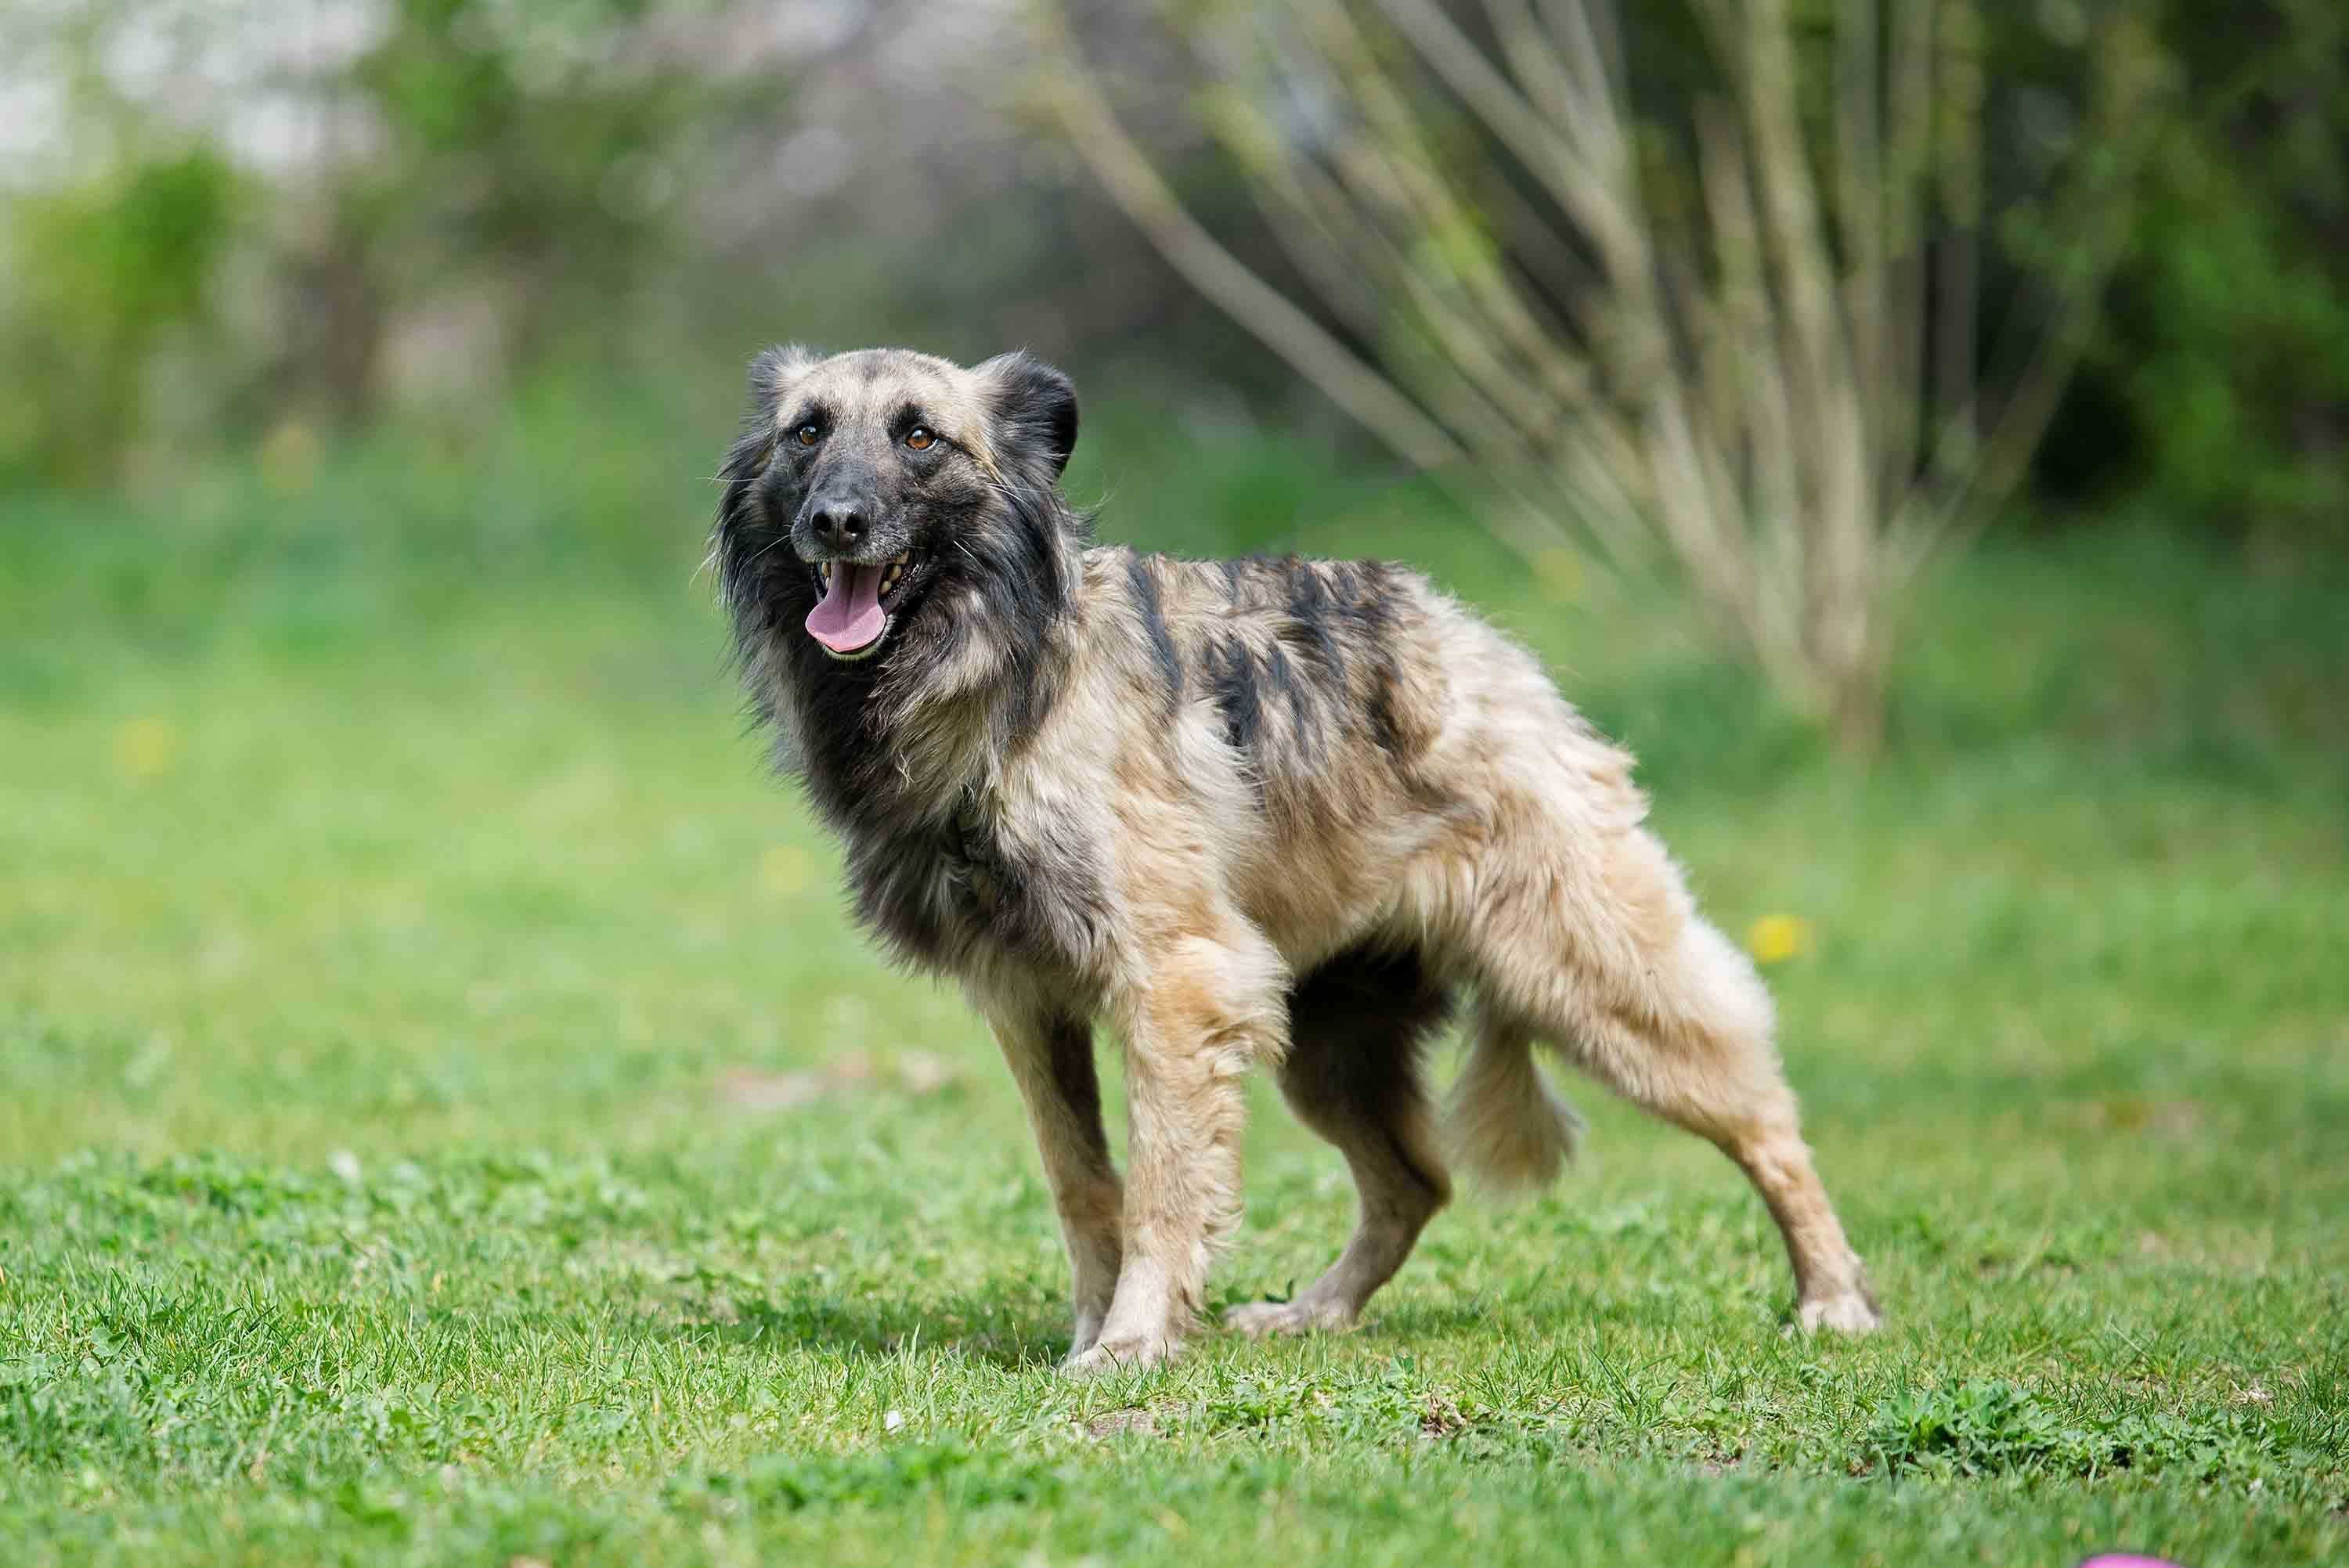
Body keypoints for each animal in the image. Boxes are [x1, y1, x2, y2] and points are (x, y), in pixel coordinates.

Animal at [705, 344, 1879, 1371]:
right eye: (807, 432)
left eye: (920, 435)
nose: (835, 520)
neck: (1002, 673)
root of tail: (1492, 652)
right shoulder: (1029, 1003)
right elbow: (1084, 1186)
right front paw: (1097, 1325)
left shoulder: (1176, 988)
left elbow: (1161, 1189)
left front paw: (1130, 1344)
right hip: (1330, 1042)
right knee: (1414, 1183)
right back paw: (1318, 1311)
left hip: (1588, 977)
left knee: (1766, 1117)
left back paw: (1833, 1295)